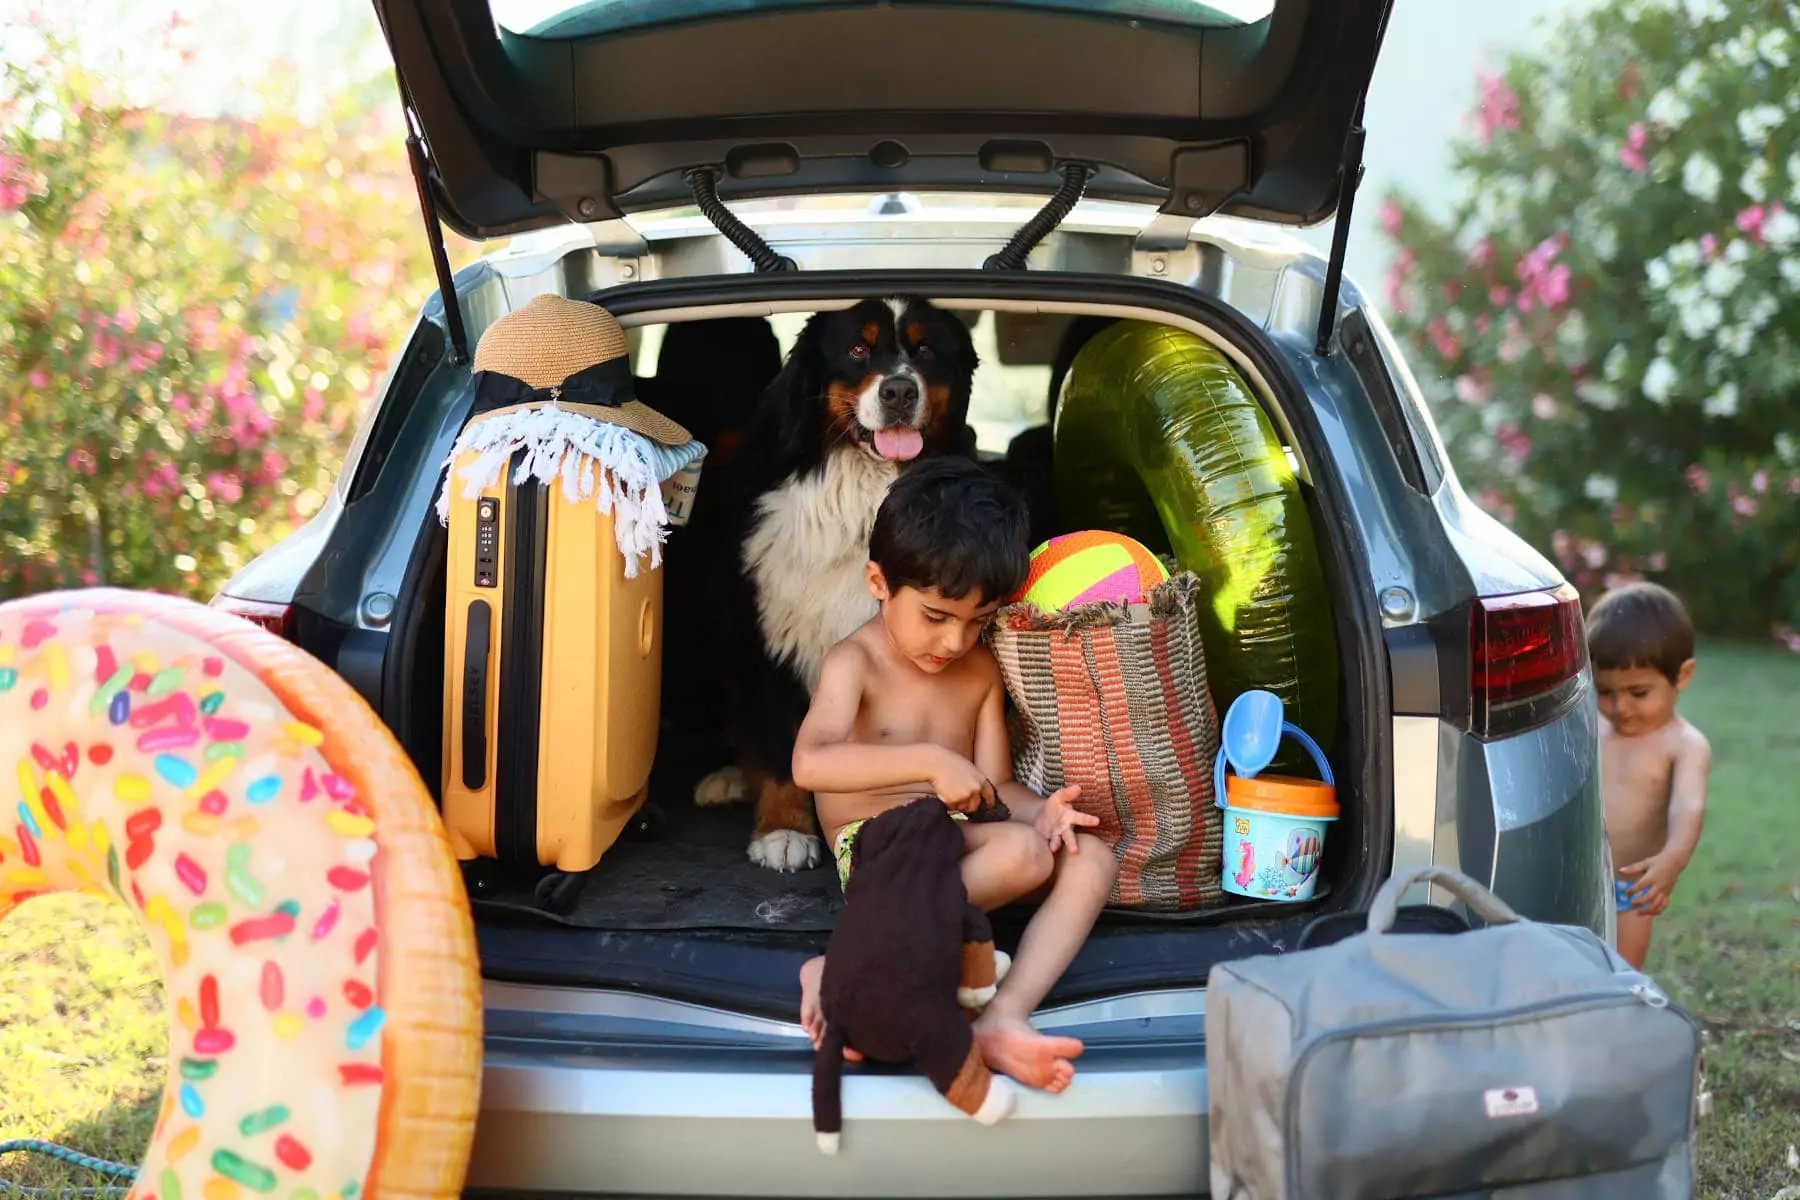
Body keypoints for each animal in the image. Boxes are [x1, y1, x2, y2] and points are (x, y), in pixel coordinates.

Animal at [694, 295, 979, 867]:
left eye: (925, 350)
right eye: (856, 350)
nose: (898, 391)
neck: (867, 489)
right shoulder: (773, 633)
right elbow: (781, 741)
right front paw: (783, 830)